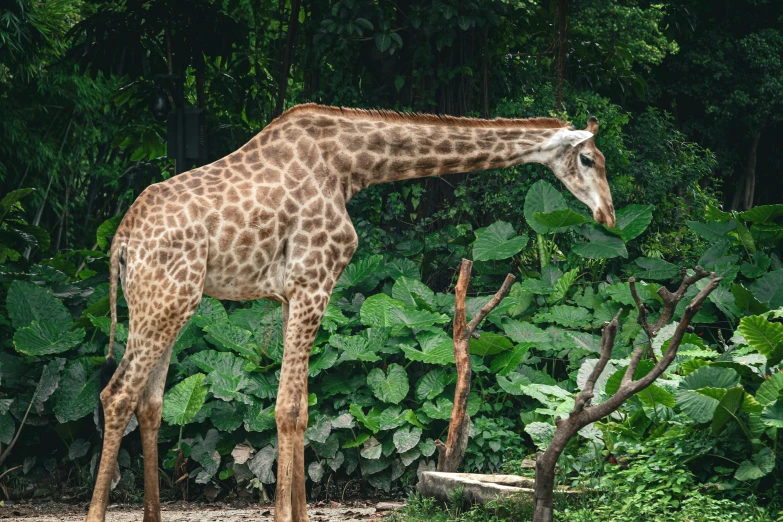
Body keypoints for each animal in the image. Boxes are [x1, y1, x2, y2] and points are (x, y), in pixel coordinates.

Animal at [89, 102, 616, 520]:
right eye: (588, 158)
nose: (608, 214)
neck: (350, 167)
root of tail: (121, 242)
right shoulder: (313, 282)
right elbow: (286, 408)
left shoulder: (292, 294)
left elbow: (301, 409)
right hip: (165, 301)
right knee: (117, 395)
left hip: (170, 304)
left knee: (150, 401)